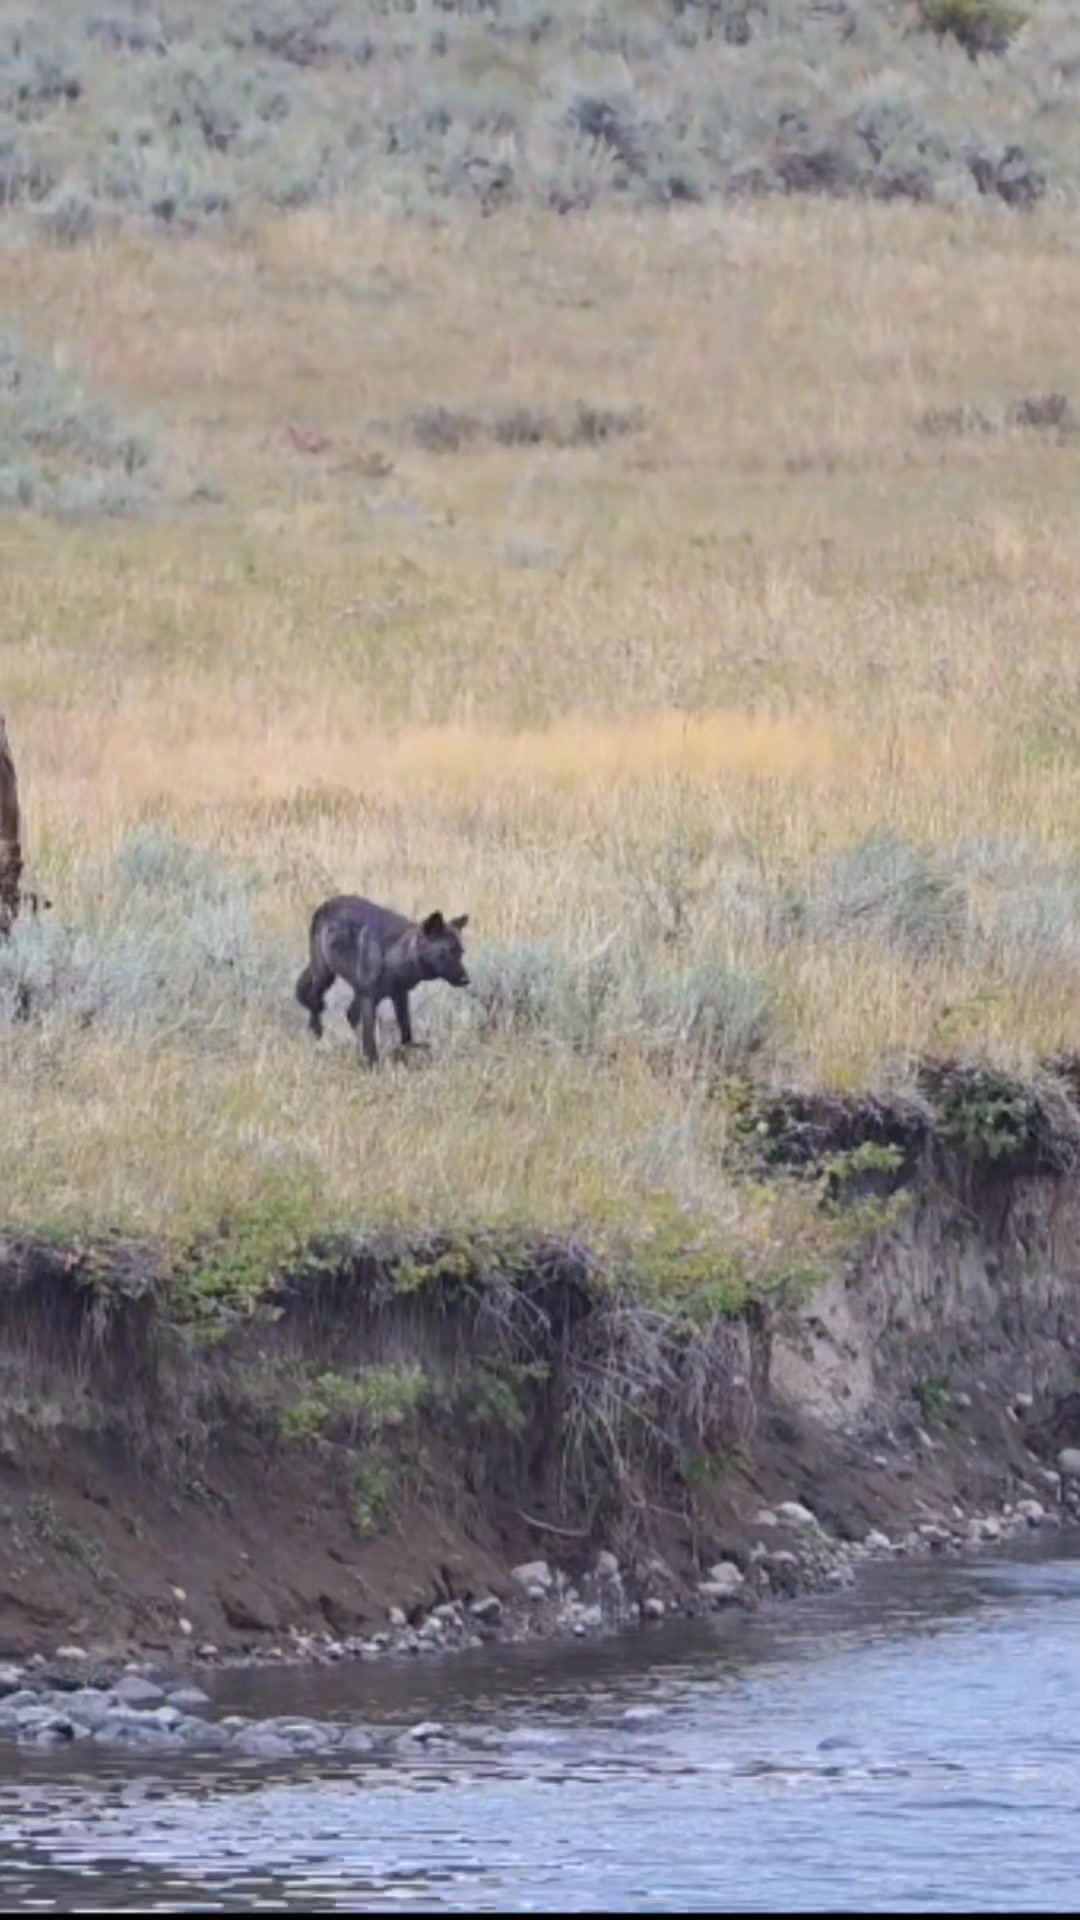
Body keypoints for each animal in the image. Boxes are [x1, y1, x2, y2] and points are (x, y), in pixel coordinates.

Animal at [295, 894, 470, 1065]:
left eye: (461, 952)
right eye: (446, 953)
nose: (466, 980)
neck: (395, 957)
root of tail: (326, 903)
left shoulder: (400, 995)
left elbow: (406, 1029)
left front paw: (406, 1054)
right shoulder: (369, 999)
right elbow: (370, 1039)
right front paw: (372, 1065)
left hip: (354, 990)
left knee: (350, 1014)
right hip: (325, 976)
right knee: (314, 1000)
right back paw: (317, 1033)